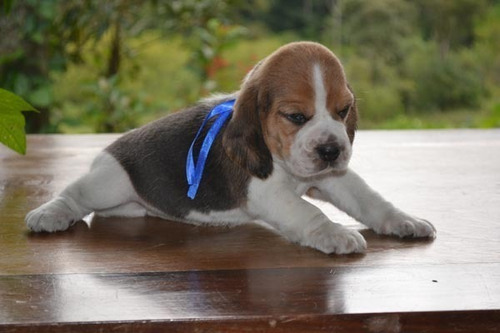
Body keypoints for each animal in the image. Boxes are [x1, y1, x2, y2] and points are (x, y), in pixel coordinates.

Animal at [25, 42, 436, 254]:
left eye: (343, 110)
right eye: (296, 116)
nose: (332, 150)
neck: (281, 160)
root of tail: (109, 148)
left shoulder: (334, 178)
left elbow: (371, 200)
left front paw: (404, 220)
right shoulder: (267, 192)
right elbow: (308, 213)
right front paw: (334, 234)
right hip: (109, 182)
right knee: (74, 193)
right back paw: (50, 214)